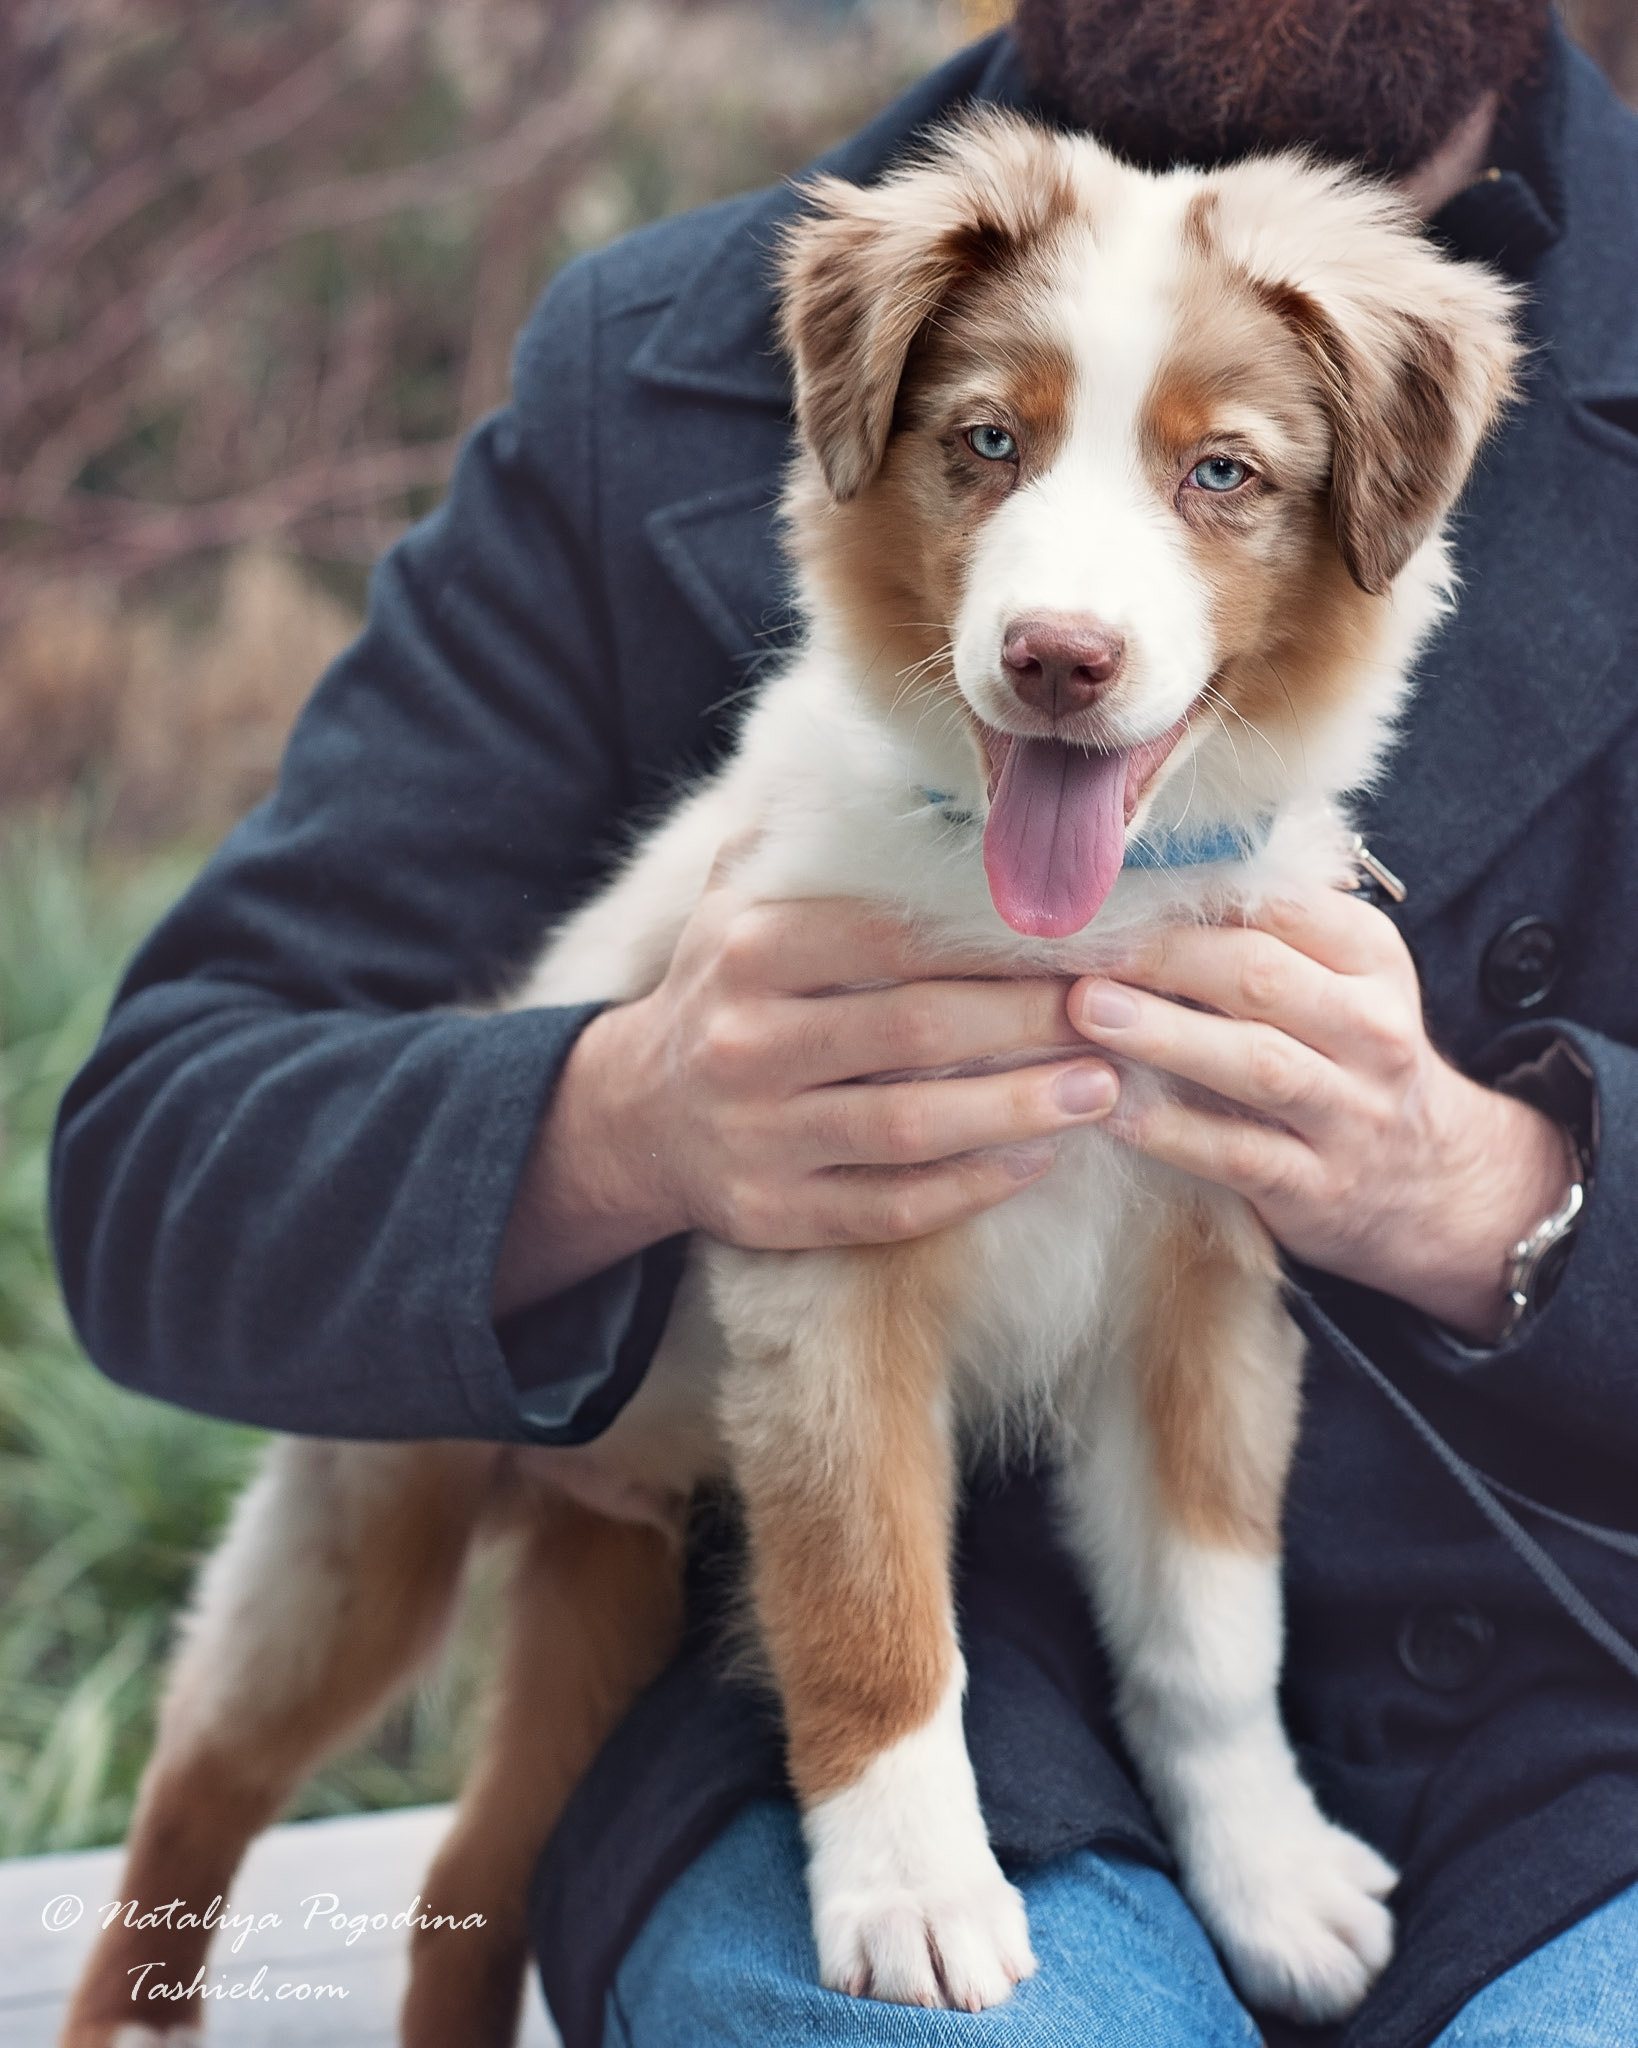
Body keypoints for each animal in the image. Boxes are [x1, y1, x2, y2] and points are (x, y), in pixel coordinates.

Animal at [63, 112, 1523, 2048]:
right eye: (987, 442)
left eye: (1219, 472)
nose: (1056, 657)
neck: (1052, 926)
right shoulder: (826, 1262)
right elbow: (870, 1603)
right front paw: (914, 1897)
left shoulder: (1203, 1286)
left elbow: (1214, 1629)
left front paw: (1271, 1876)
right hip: (364, 1520)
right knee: (198, 1782)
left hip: (612, 1586)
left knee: (470, 1875)